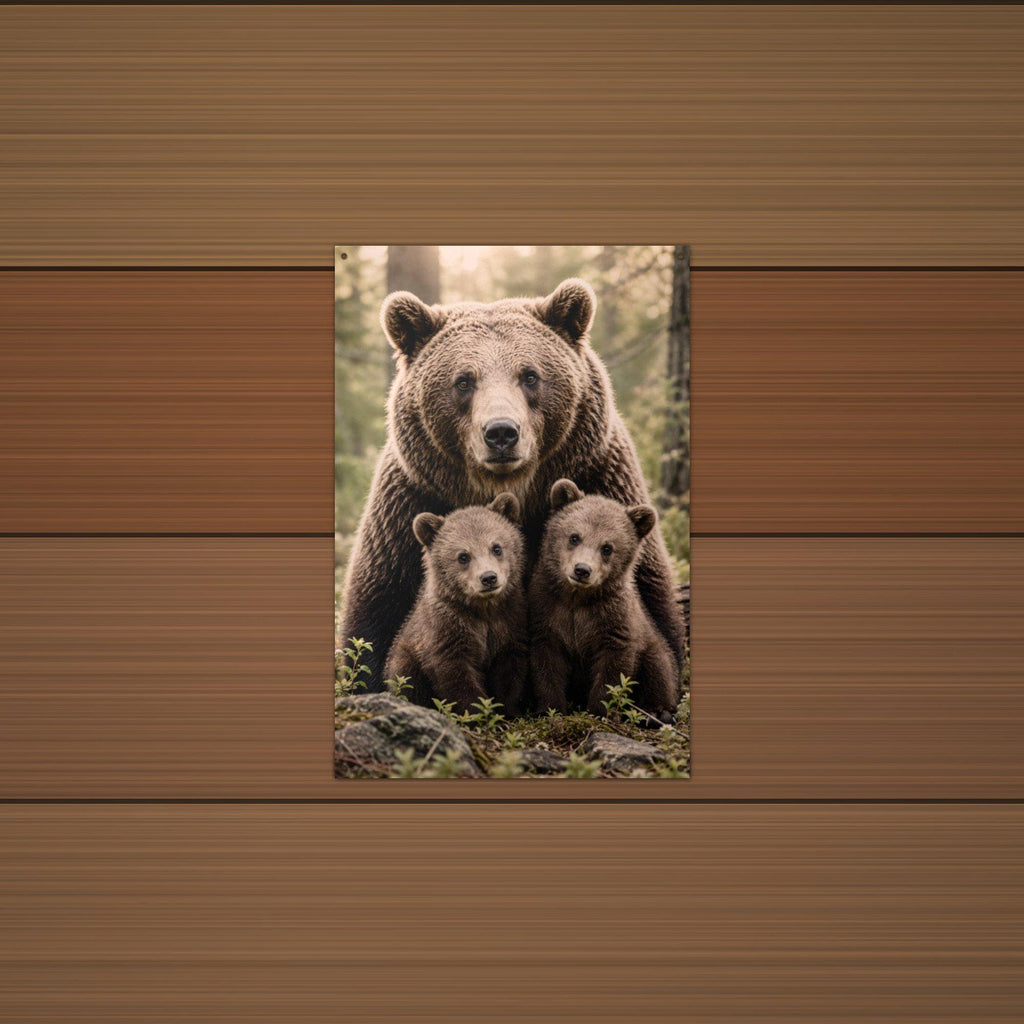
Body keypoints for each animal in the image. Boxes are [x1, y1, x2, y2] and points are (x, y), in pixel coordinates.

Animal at [339, 277, 685, 693]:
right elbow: (376, 611)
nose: (501, 432)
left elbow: (651, 600)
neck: (511, 488)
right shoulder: (411, 502)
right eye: (464, 381)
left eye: (530, 375)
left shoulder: (602, 476)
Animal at [383, 493, 528, 716]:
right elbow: (455, 674)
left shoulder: (509, 622)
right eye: (463, 556)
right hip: (405, 659)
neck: (484, 610)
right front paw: (477, 712)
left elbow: (509, 671)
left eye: (496, 547)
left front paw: (508, 711)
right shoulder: (447, 629)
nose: (489, 578)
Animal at [529, 479, 679, 724]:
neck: (577, 599)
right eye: (574, 536)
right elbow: (546, 664)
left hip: (651, 644)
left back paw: (657, 711)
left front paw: (601, 711)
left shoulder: (614, 620)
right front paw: (550, 709)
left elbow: (613, 668)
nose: (582, 570)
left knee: (659, 668)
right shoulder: (547, 613)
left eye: (607, 547)